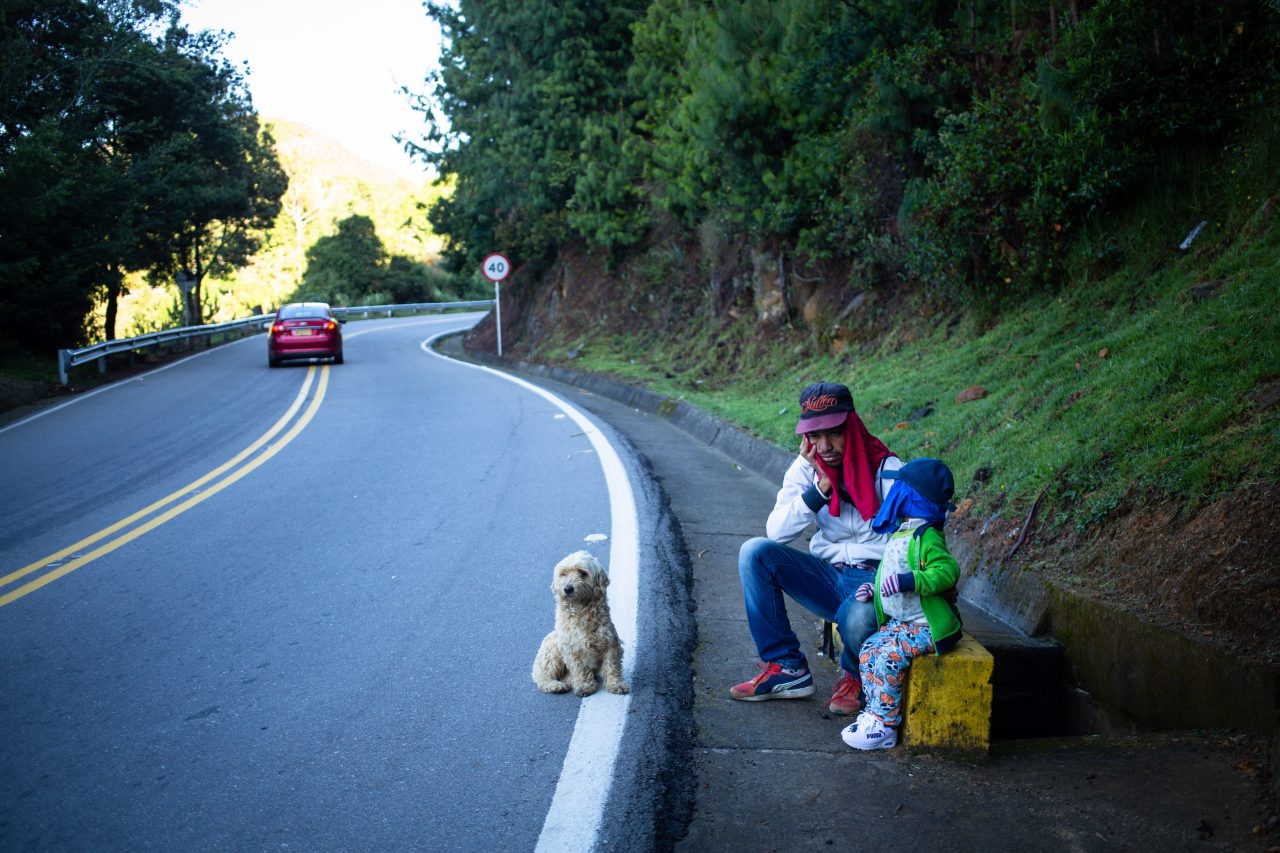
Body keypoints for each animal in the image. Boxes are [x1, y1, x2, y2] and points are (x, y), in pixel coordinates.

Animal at [529, 548, 629, 696]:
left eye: (582, 573)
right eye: (563, 574)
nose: (567, 589)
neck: (581, 611)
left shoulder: (610, 643)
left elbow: (612, 666)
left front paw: (616, 684)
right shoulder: (571, 647)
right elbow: (579, 668)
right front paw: (584, 685)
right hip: (552, 649)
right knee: (542, 677)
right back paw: (555, 685)